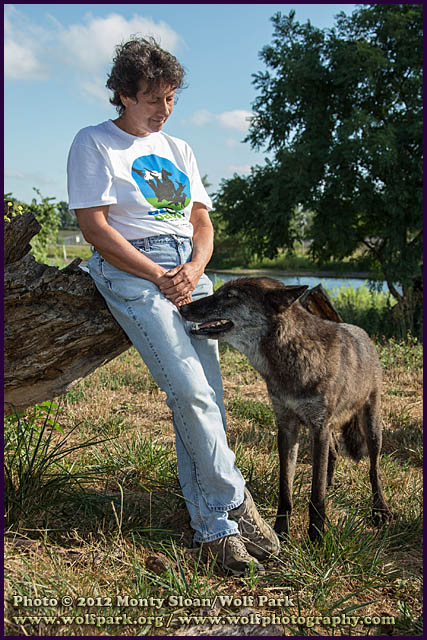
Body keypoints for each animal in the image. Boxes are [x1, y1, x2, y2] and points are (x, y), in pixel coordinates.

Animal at [180, 278, 392, 544]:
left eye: (230, 295)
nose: (182, 308)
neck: (291, 354)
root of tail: (363, 333)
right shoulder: (288, 428)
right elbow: (286, 488)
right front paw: (281, 531)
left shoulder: (318, 428)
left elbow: (316, 495)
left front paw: (316, 536)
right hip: (329, 429)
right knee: (333, 454)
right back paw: (332, 484)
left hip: (371, 425)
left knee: (375, 468)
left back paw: (380, 509)